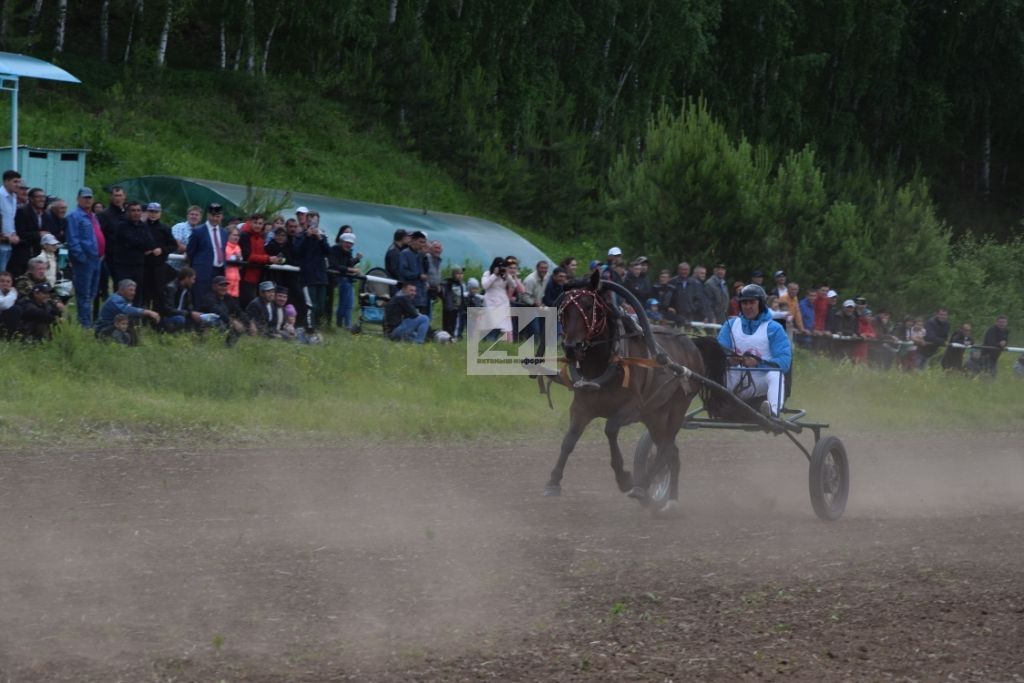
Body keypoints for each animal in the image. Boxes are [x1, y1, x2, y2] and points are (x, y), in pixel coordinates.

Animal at [544, 270, 729, 516]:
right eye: (564, 309)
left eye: (589, 305)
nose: (571, 347)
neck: (607, 363)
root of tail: (692, 344)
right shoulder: (581, 407)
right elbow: (569, 440)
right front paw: (553, 480)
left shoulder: (632, 409)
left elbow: (610, 429)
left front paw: (624, 477)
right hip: (655, 415)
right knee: (671, 452)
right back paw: (668, 498)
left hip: (676, 409)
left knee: (666, 449)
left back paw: (644, 485)